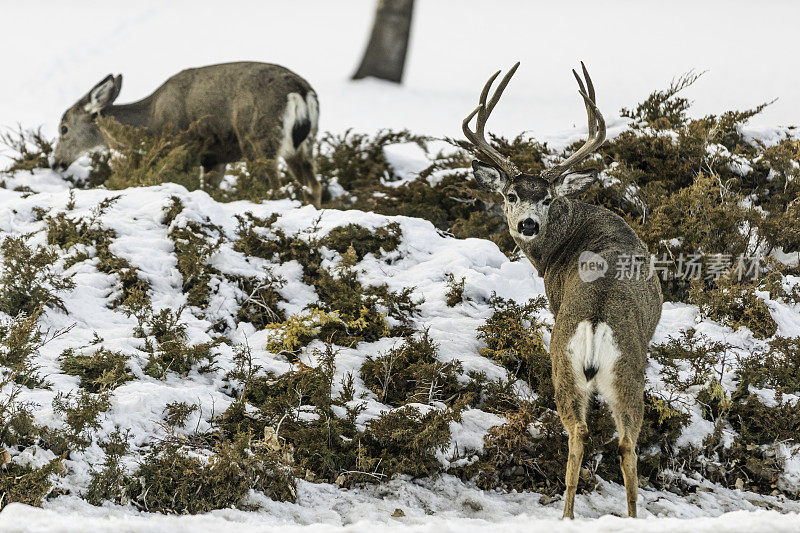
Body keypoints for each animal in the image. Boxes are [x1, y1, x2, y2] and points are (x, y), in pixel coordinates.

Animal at [50, 60, 322, 206]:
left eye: (64, 128)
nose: (55, 163)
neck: (151, 122)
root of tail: (301, 90)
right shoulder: (215, 157)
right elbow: (209, 190)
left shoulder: (184, 146)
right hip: (302, 146)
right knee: (314, 185)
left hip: (257, 139)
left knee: (275, 187)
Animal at [462, 61, 664, 516]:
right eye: (511, 194)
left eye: (549, 198)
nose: (527, 224)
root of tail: (595, 324)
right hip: (617, 372)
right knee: (617, 440)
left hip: (569, 367)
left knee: (593, 434)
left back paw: (573, 512)